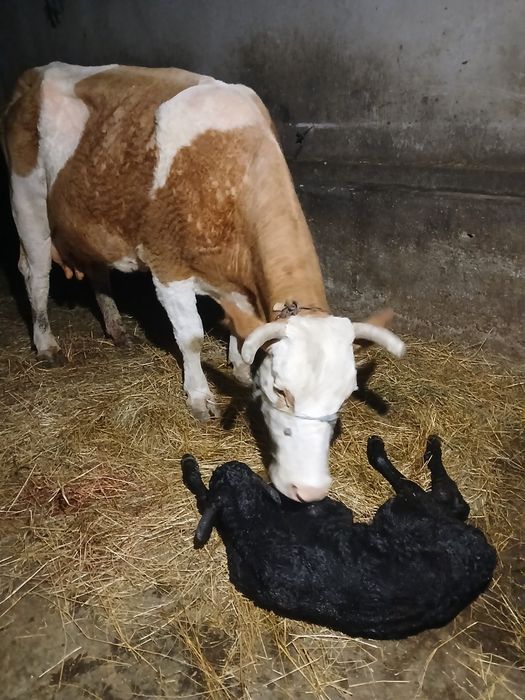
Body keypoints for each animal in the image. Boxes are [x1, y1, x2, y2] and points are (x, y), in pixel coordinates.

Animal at [3, 62, 405, 501]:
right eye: (280, 391)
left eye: (345, 396)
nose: (309, 491)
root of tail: (36, 72)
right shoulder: (168, 268)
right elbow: (192, 338)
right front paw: (199, 397)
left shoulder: (237, 285)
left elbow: (242, 333)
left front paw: (241, 368)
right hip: (27, 199)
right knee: (36, 274)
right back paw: (46, 344)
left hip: (93, 223)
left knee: (97, 271)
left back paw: (116, 328)